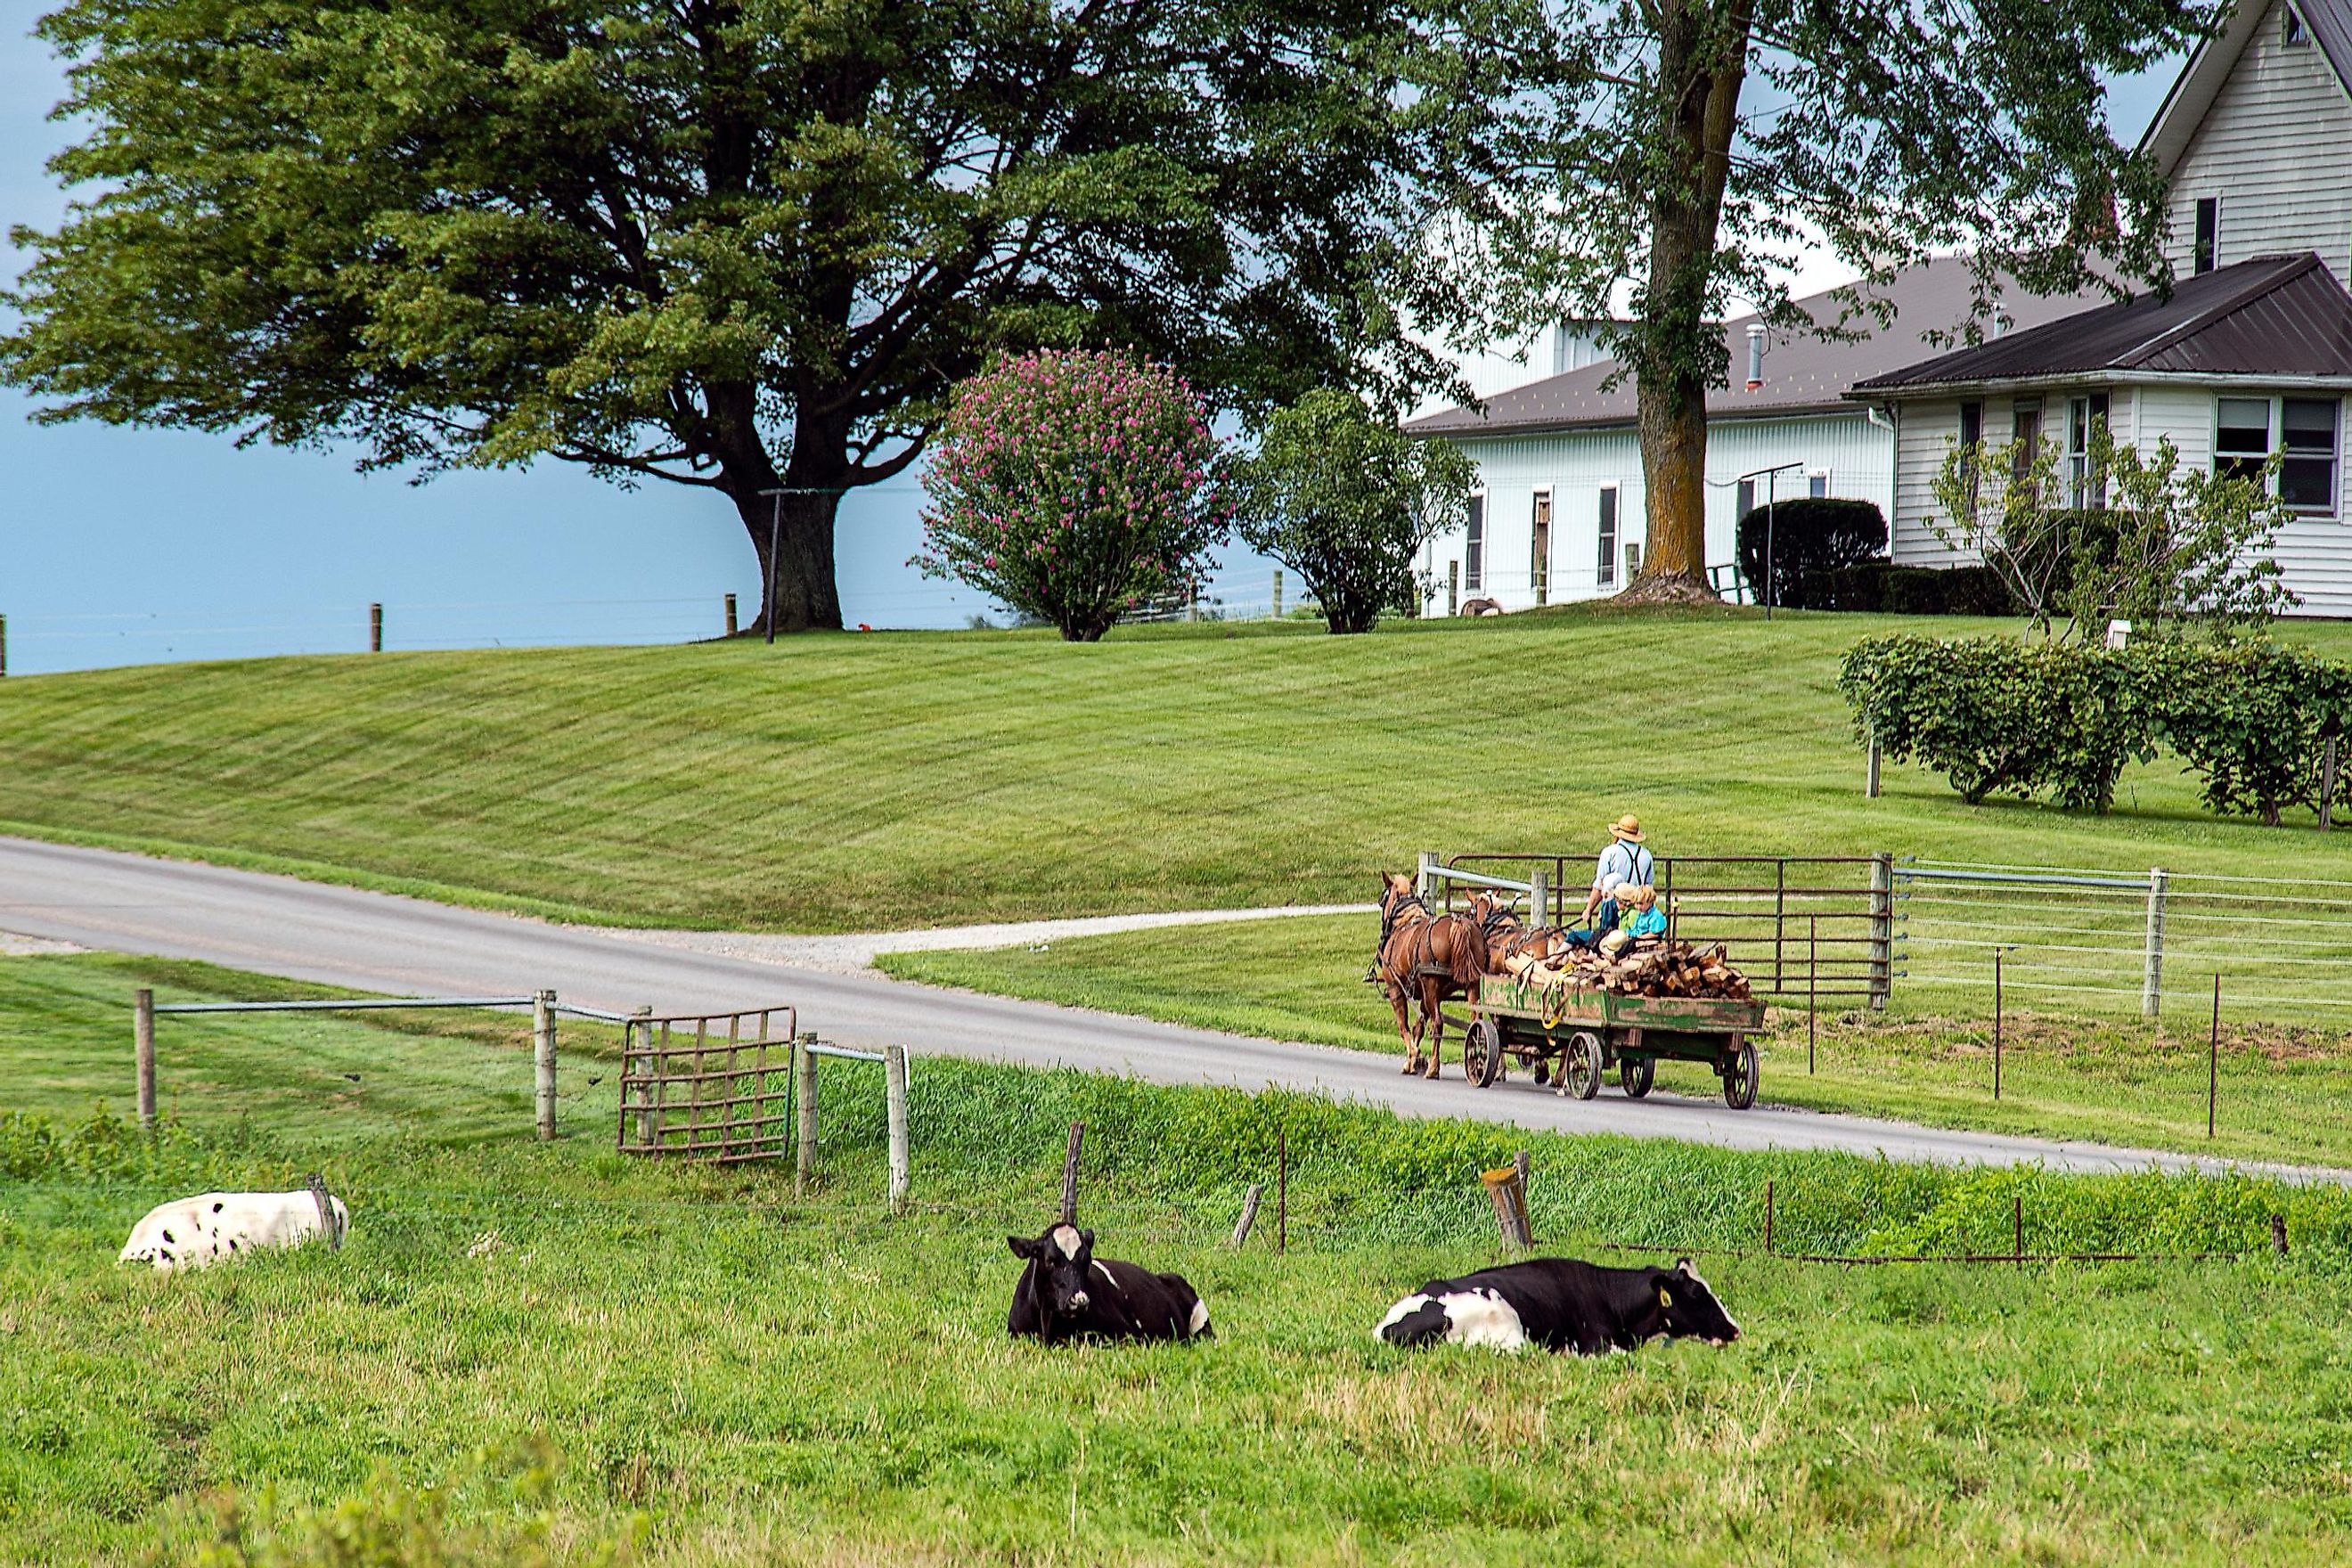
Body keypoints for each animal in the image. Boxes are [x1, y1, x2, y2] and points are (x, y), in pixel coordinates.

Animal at [1373, 870, 1486, 1081]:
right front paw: (1414, 1060)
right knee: (1475, 1022)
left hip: (1430, 984)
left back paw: (1433, 1068)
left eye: (1382, 899)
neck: (1405, 921)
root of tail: (1459, 924)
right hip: (1471, 984)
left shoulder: (1396, 989)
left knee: (1438, 1024)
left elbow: (1403, 1026)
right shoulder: (1427, 994)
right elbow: (1418, 1026)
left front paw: (1414, 1057)